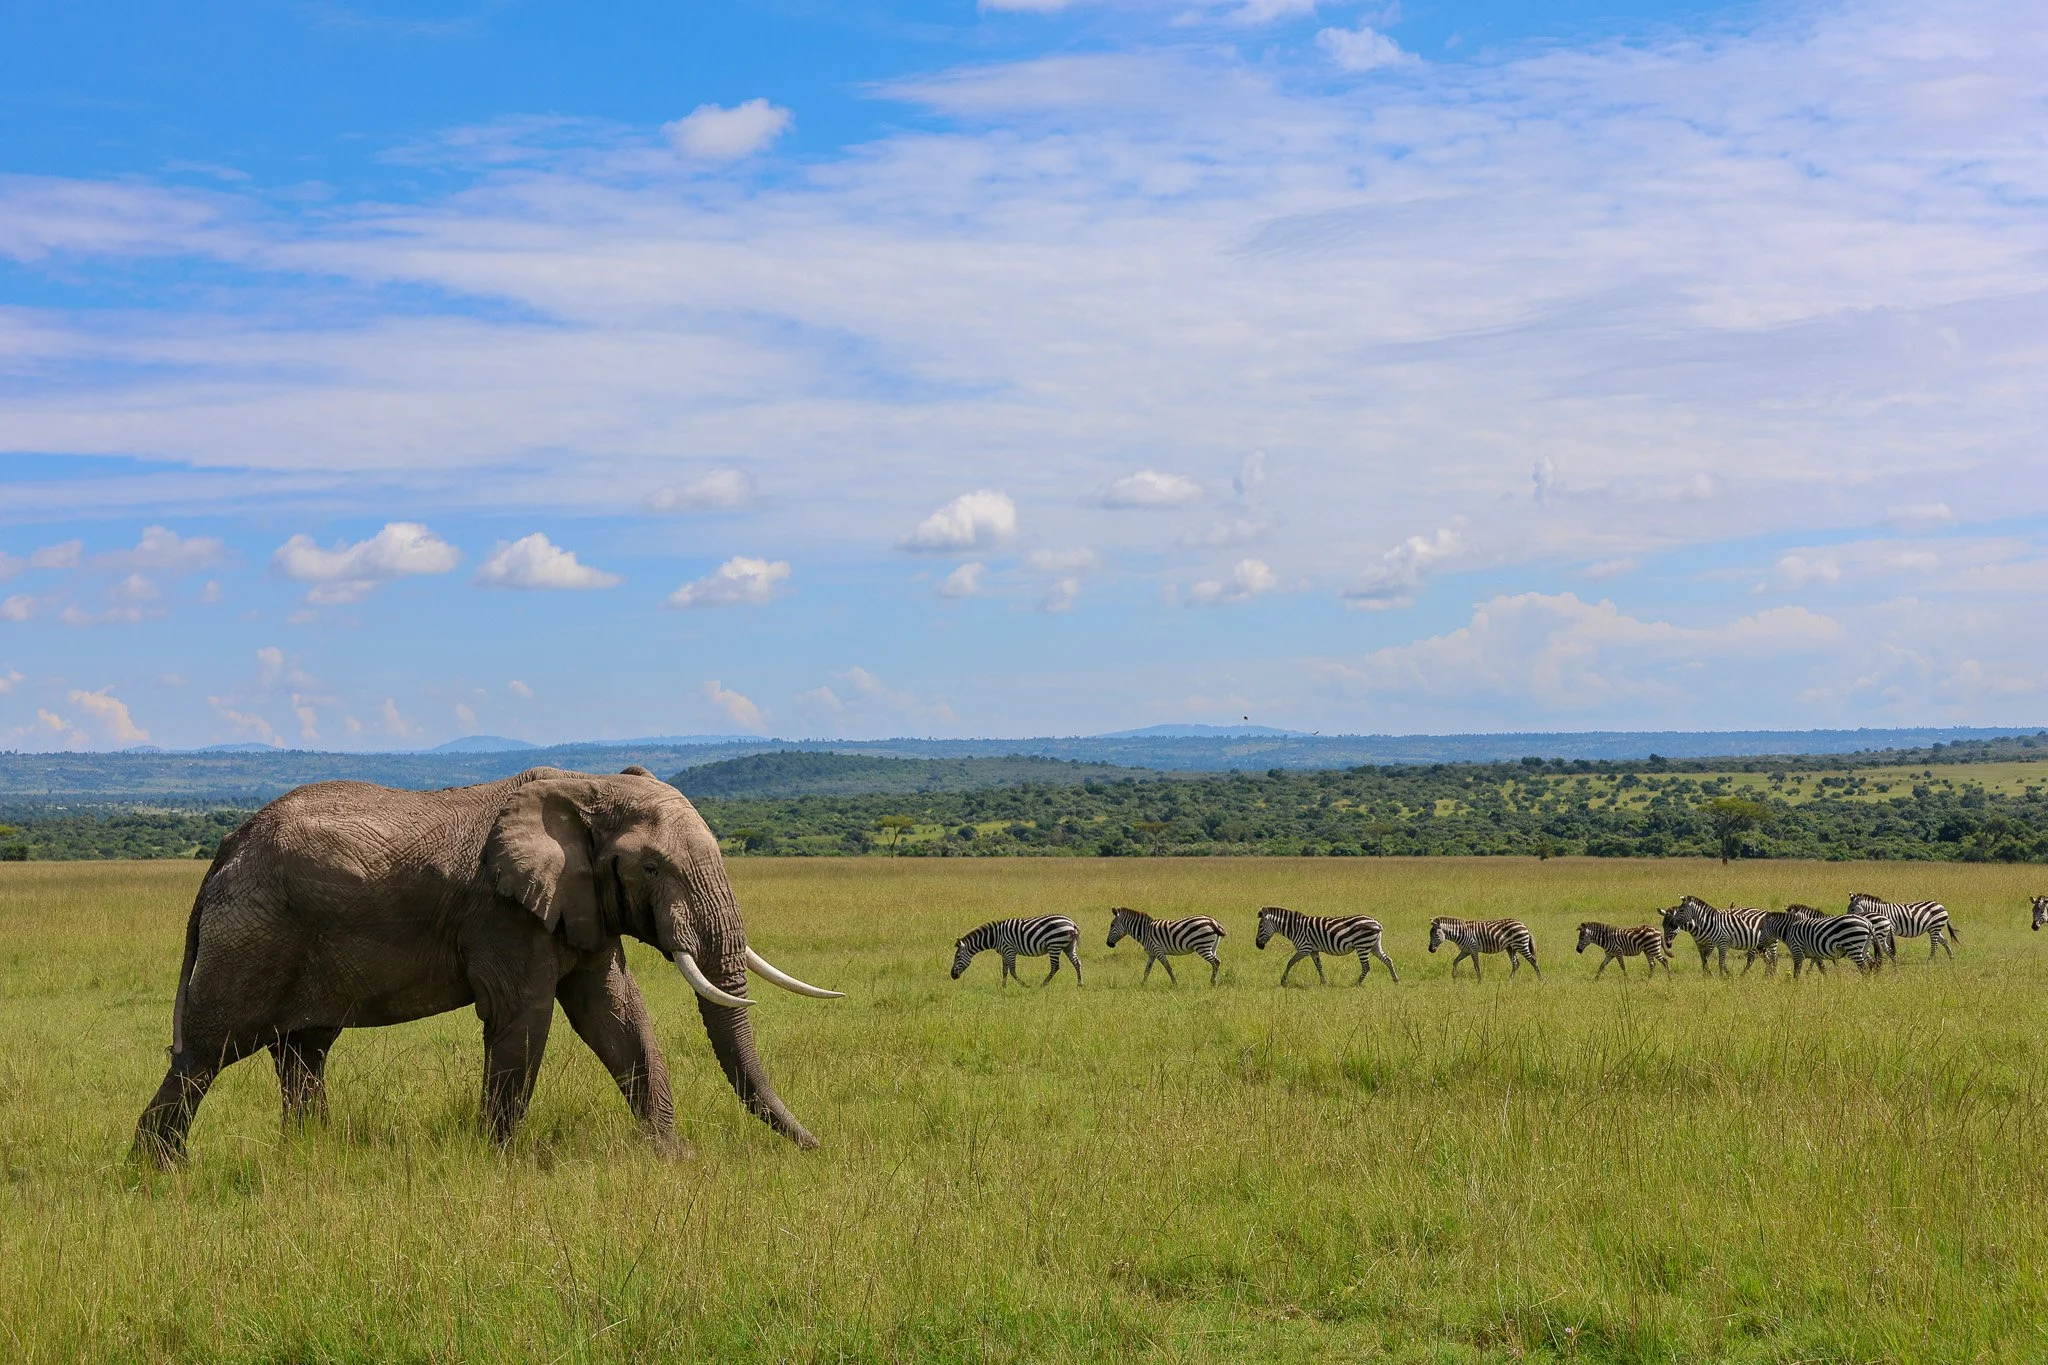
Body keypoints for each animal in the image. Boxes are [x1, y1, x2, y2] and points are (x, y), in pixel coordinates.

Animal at [132, 765, 840, 1165]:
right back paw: (158, 1173)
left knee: (302, 1052)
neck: (586, 785)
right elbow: (525, 1017)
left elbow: (615, 1015)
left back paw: (311, 1159)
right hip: (253, 936)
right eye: (650, 867)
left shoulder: (580, 902)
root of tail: (224, 852)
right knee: (207, 1055)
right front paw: (499, 1165)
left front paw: (674, 1160)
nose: (818, 1149)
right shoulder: (501, 911)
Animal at [951, 915, 1082, 986]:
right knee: (1077, 963)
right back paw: (1079, 984)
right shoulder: (1004, 952)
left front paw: (1025, 985)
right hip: (1069, 946)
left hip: (1054, 945)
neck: (995, 937)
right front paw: (1003, 987)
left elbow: (1013, 971)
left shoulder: (1009, 950)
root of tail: (1072, 923)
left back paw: (1043, 984)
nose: (952, 975)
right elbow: (1004, 971)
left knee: (1055, 966)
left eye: (957, 957)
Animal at [1255, 906, 1398, 985]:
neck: (1295, 928)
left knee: (1366, 967)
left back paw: (1356, 984)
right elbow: (1319, 966)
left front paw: (1283, 981)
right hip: (1374, 946)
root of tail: (1377, 923)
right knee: (1388, 960)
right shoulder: (1313, 950)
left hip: (1362, 945)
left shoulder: (1304, 948)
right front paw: (1324, 982)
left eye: (1260, 927)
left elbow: (1290, 962)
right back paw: (1395, 980)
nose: (1257, 946)